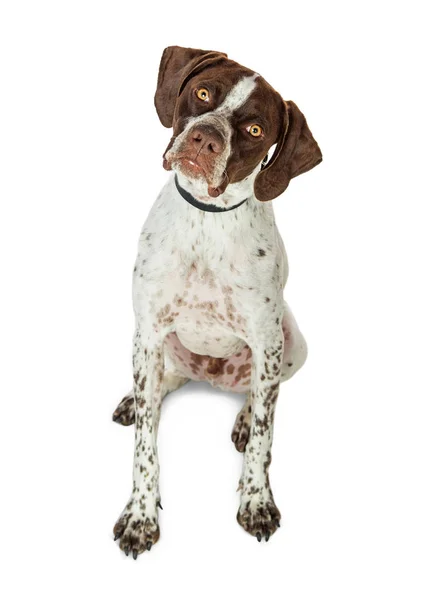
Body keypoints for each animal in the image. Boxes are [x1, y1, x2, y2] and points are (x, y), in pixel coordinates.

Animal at [112, 45, 322, 556]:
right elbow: (145, 446)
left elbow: (266, 434)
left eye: (255, 130)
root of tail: (210, 376)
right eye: (204, 94)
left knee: (263, 395)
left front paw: (257, 501)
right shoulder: (148, 330)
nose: (205, 138)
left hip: (292, 343)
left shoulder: (267, 341)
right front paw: (140, 515)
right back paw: (140, 397)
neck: (208, 223)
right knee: (167, 381)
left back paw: (244, 417)